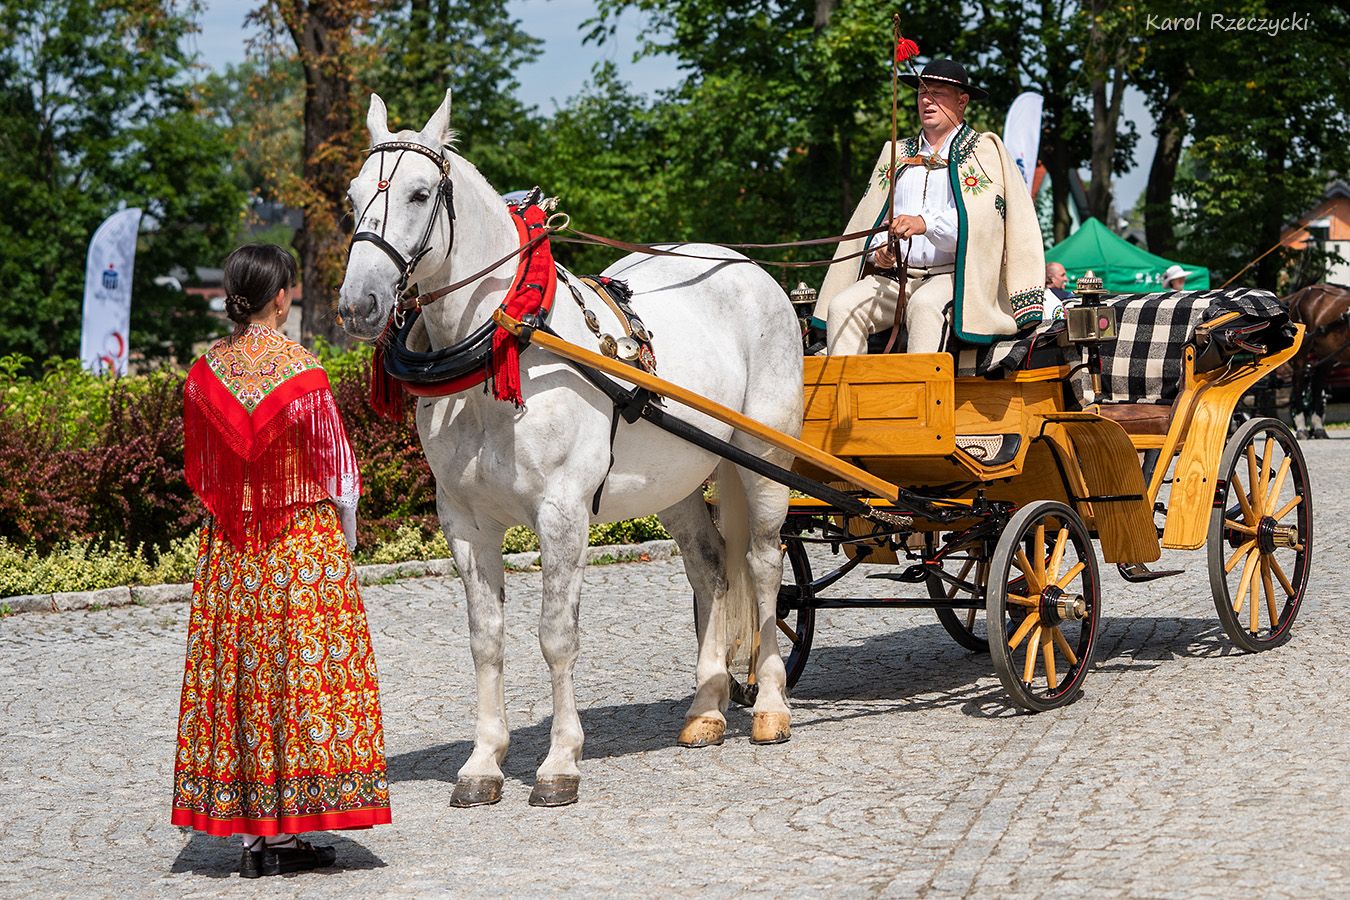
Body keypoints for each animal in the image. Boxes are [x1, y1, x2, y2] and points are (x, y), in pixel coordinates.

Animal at [340, 93, 799, 809]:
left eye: (419, 194)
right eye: (352, 196)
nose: (358, 304)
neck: (506, 344)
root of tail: (747, 266)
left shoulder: (562, 514)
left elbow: (556, 637)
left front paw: (560, 761)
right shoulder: (465, 522)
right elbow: (486, 640)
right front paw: (483, 762)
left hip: (763, 461)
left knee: (761, 564)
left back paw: (772, 704)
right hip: (675, 479)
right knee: (710, 571)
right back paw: (706, 706)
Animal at [1279, 282, 1344, 437]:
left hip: (1327, 354)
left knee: (1316, 384)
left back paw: (1318, 427)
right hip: (1303, 352)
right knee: (1298, 382)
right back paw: (1302, 427)